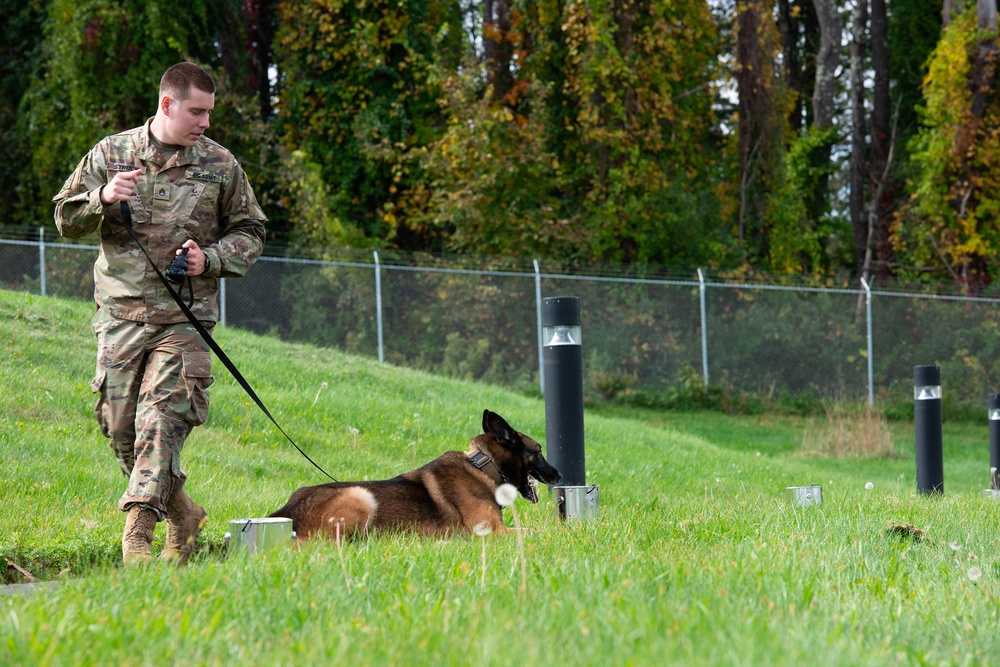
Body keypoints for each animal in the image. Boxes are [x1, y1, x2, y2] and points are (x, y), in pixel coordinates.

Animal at [270, 408, 560, 544]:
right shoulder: (493, 532)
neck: (484, 466)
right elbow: (538, 530)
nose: (559, 474)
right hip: (360, 495)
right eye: (539, 451)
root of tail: (287, 512)